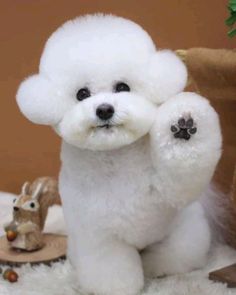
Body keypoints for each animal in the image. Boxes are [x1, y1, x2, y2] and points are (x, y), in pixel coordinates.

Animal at [16, 13, 221, 295]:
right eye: (82, 94)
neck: (115, 158)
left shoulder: (165, 189)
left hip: (183, 235)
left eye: (122, 87)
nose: (104, 109)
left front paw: (184, 127)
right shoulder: (98, 233)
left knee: (173, 256)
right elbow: (111, 266)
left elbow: (180, 183)